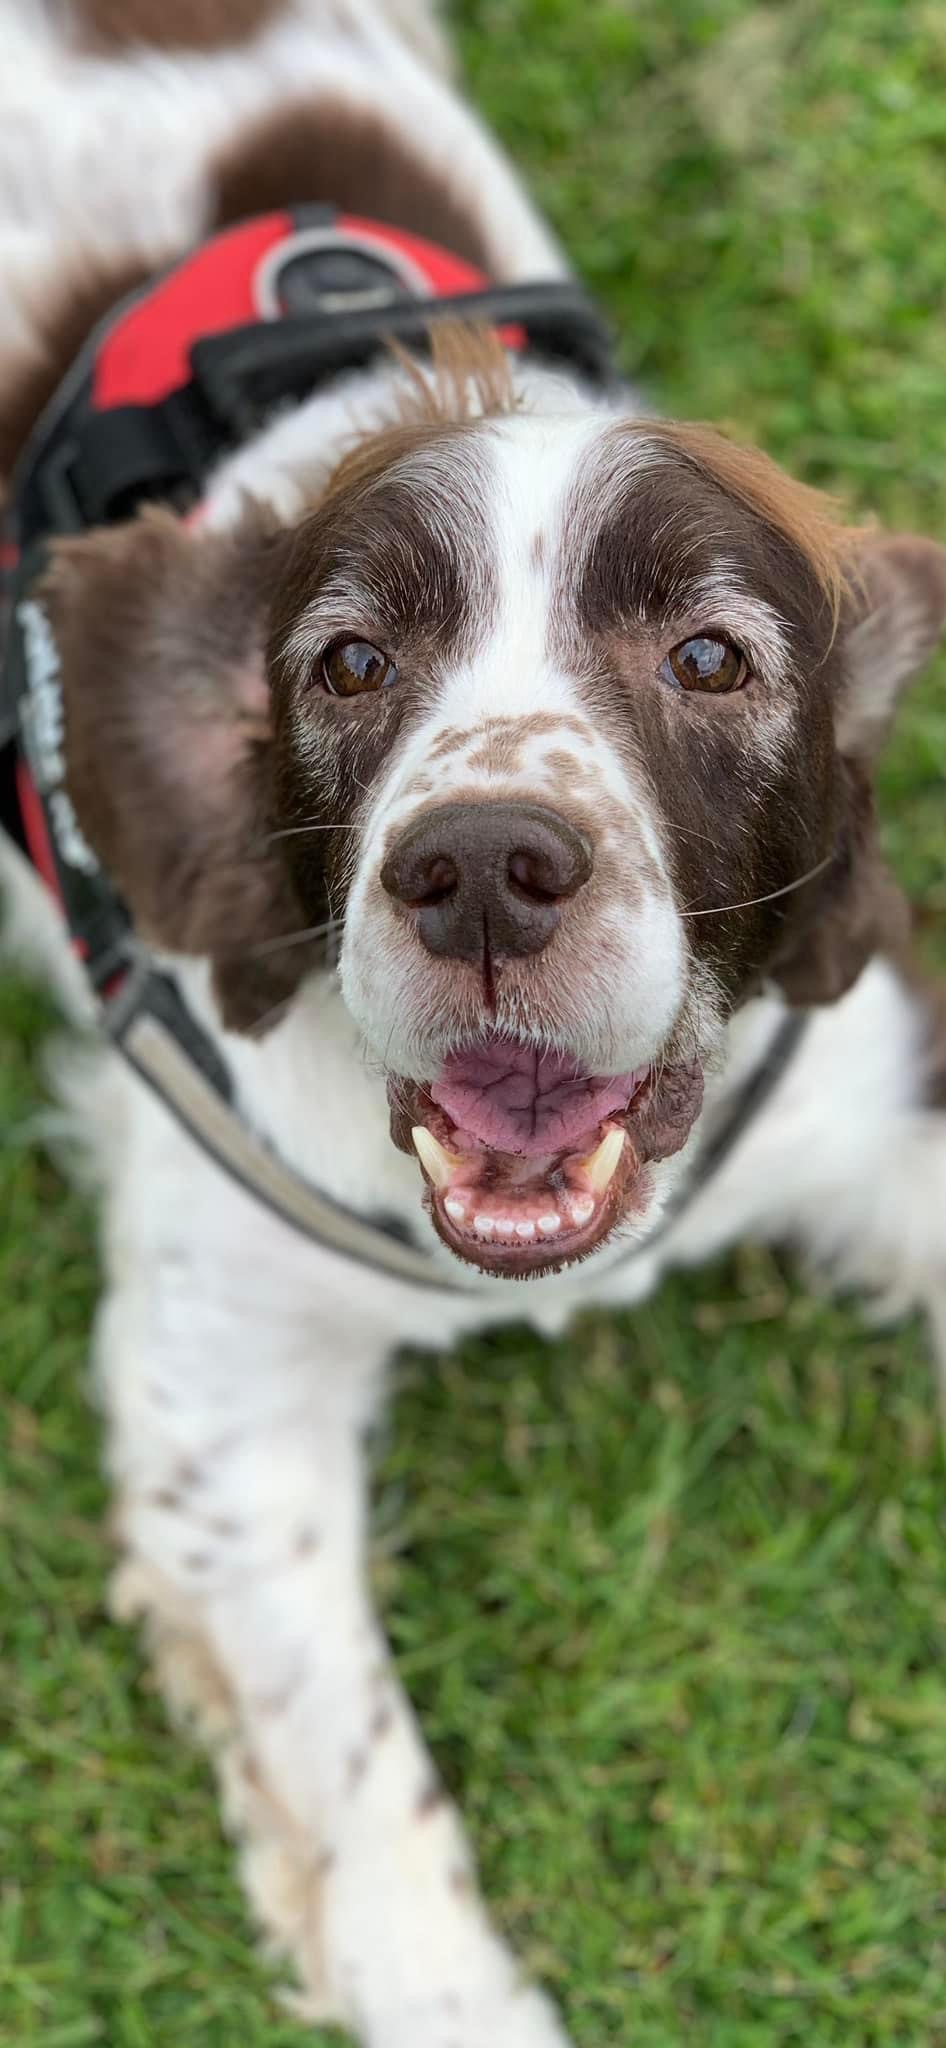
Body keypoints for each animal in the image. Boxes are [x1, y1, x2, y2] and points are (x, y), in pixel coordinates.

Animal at [1, 4, 946, 2048]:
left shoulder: (874, 1104)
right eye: (347, 661)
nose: (485, 868)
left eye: (710, 655)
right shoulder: (218, 1390)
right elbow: (359, 1784)